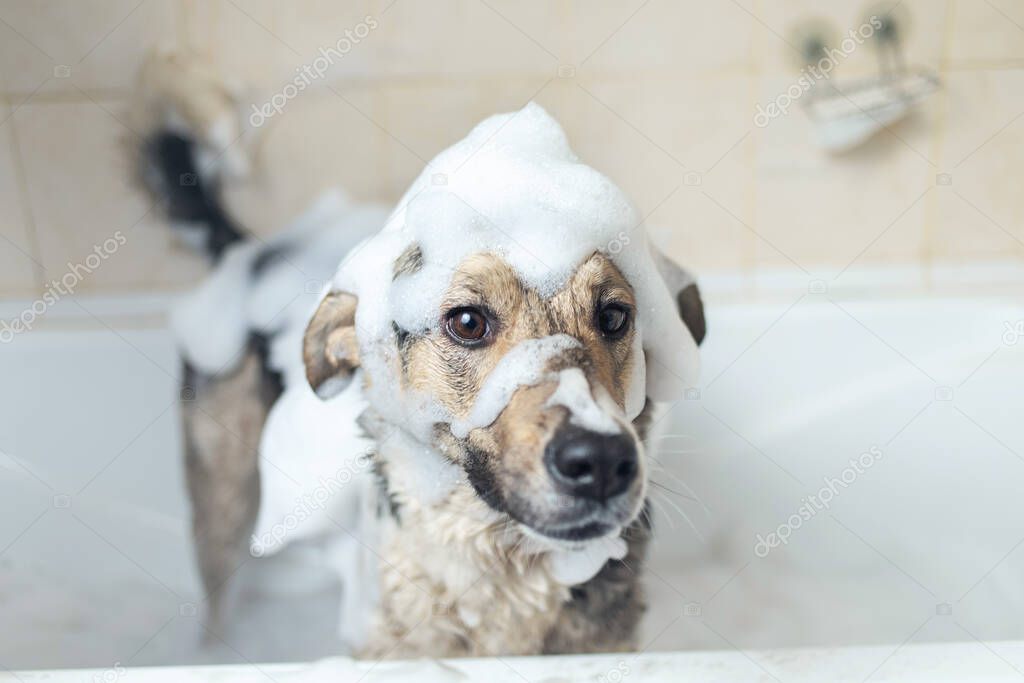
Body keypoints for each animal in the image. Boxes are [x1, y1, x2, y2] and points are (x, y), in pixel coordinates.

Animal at [136, 50, 704, 659]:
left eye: (614, 316)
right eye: (468, 322)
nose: (598, 462)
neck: (503, 577)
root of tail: (255, 250)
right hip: (221, 498)